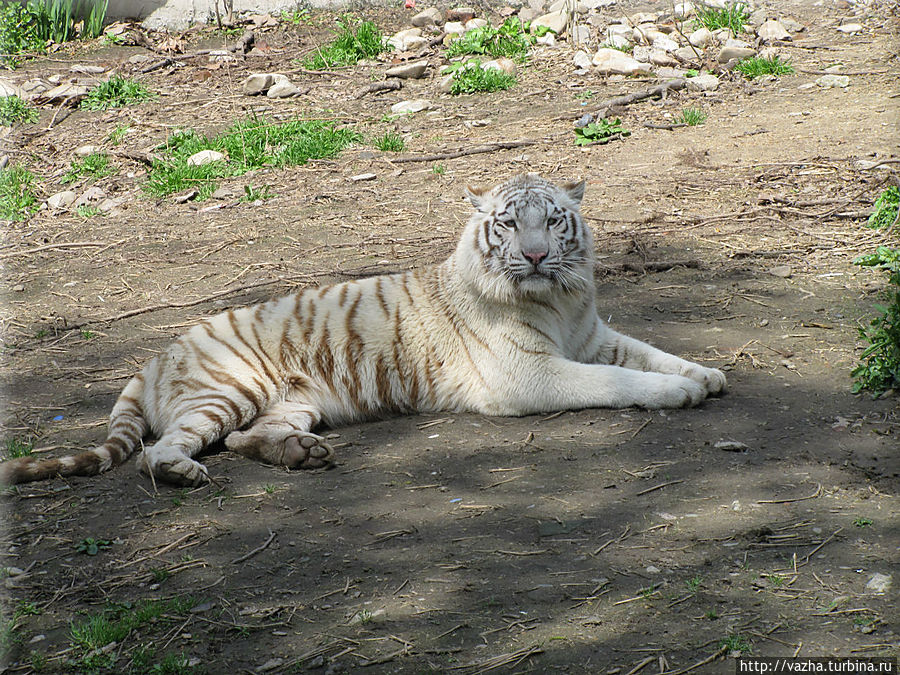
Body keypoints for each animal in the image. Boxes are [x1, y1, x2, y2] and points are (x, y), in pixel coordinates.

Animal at [1, 174, 724, 488]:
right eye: (510, 224)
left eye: (553, 220)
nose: (539, 255)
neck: (559, 301)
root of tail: (153, 356)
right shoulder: (533, 373)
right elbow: (616, 379)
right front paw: (678, 394)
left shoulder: (592, 334)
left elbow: (650, 352)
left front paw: (706, 374)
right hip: (227, 386)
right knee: (165, 448)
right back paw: (183, 472)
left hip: (290, 401)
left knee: (241, 437)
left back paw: (303, 455)